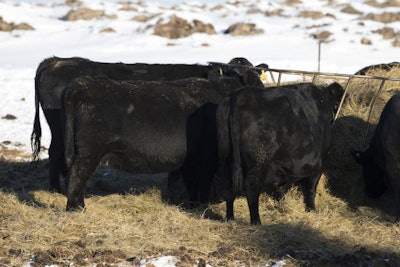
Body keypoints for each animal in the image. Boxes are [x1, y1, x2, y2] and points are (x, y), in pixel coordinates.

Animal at [61, 70, 262, 211]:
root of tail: (82, 84)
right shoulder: (207, 157)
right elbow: (203, 182)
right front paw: (203, 207)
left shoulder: (189, 159)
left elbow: (191, 184)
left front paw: (193, 206)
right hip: (90, 151)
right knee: (77, 175)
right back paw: (77, 207)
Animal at [216, 82, 344, 225]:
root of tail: (241, 94)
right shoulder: (318, 165)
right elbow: (310, 190)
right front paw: (311, 210)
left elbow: (282, 188)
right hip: (259, 160)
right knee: (252, 187)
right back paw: (256, 221)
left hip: (226, 158)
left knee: (228, 186)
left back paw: (230, 218)